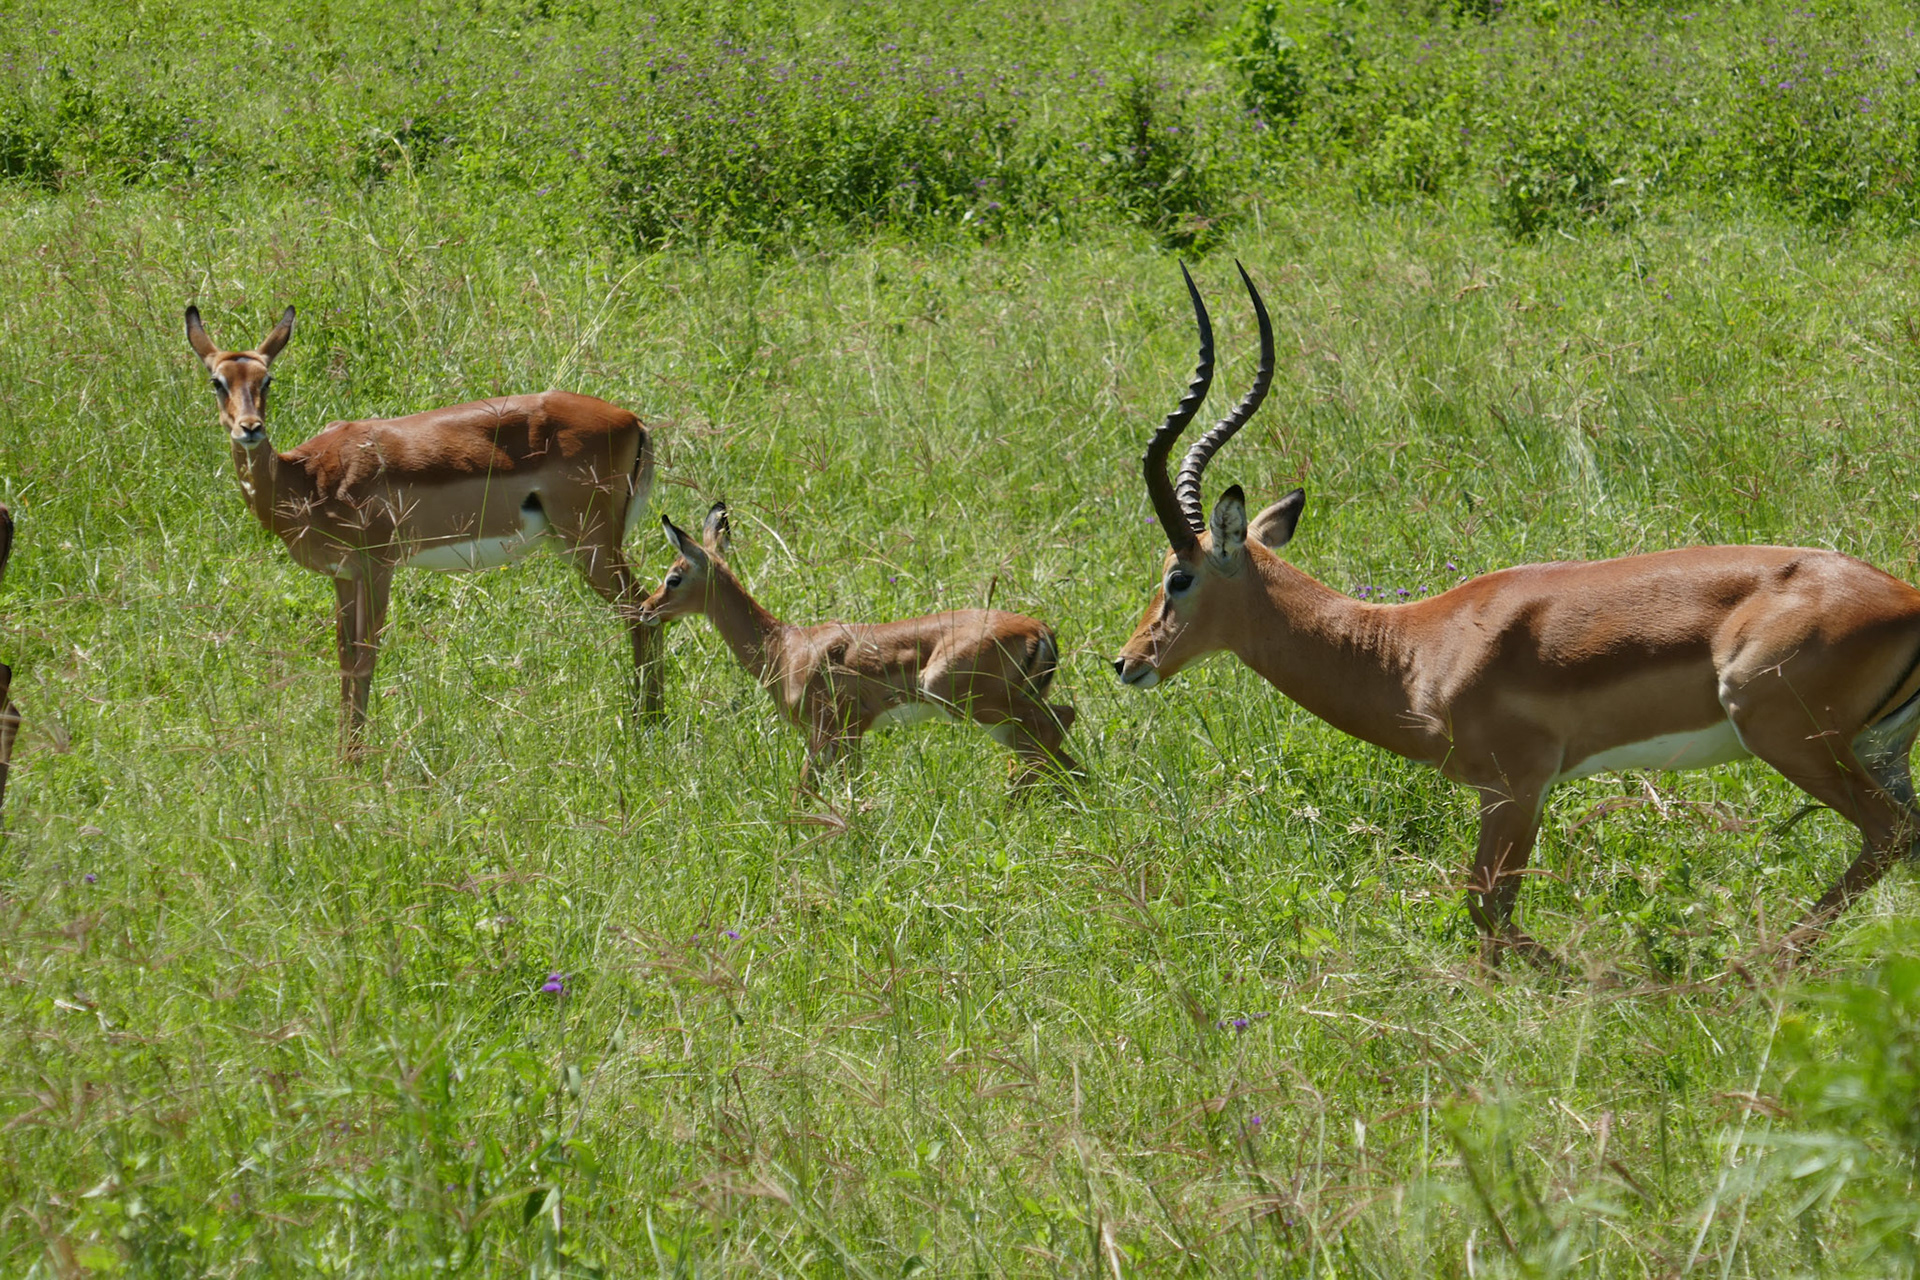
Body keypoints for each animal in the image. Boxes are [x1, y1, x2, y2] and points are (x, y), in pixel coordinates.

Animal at [185, 304, 664, 751]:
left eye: (266, 380)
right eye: (217, 381)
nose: (250, 428)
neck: (306, 475)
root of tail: (632, 420)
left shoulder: (378, 567)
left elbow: (365, 657)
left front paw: (354, 762)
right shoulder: (343, 576)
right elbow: (344, 658)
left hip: (591, 544)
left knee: (642, 609)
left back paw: (646, 725)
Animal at [636, 501, 1082, 792]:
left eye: (673, 577)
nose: (645, 609)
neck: (783, 648)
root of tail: (1040, 629)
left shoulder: (830, 731)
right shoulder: (848, 736)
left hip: (961, 696)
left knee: (1060, 721)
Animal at [1114, 262, 1920, 969]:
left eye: (1177, 577)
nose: (1128, 661)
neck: (1414, 647)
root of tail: (1905, 598)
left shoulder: (1516, 788)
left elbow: (1487, 904)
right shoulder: (1503, 793)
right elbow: (1488, 906)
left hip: (1788, 735)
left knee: (1886, 833)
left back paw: (1749, 969)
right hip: (1877, 748)